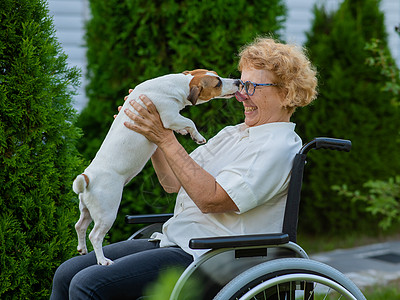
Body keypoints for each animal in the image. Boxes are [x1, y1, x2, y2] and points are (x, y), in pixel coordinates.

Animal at [72, 69, 238, 264]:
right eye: (217, 83)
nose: (237, 81)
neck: (179, 83)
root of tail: (88, 178)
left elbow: (184, 125)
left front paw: (185, 132)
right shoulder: (170, 117)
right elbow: (190, 121)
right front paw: (196, 135)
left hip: (87, 209)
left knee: (80, 225)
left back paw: (82, 248)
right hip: (106, 212)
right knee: (95, 235)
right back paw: (102, 260)